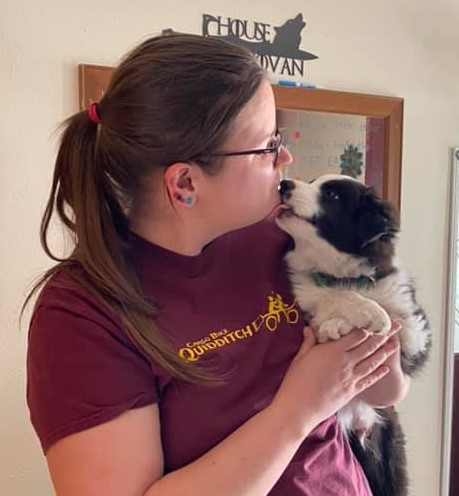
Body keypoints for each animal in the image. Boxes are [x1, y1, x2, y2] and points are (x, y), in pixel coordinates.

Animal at [276, 174, 432, 496]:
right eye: (312, 181)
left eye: (333, 196)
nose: (283, 184)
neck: (340, 273)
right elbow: (335, 298)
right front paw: (353, 317)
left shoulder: (415, 333)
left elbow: (396, 320)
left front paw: (371, 314)